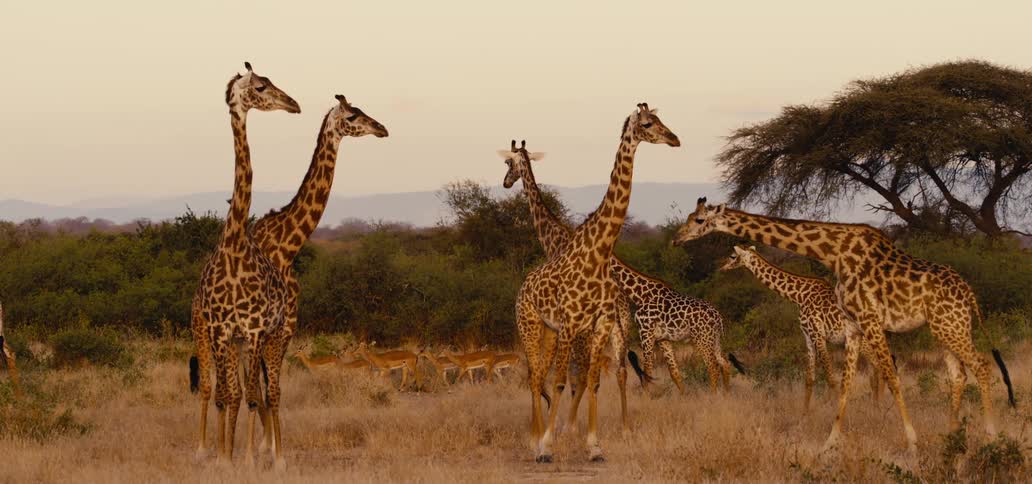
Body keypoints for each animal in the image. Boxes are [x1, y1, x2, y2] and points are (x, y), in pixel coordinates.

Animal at [189, 62, 298, 466]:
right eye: (262, 86)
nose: (293, 104)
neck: (235, 244)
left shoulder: (252, 330)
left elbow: (248, 396)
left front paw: (246, 457)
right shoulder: (221, 331)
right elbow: (227, 395)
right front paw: (223, 456)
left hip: (268, 336)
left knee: (263, 391)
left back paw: (271, 455)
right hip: (231, 340)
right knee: (228, 391)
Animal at [246, 94, 388, 461]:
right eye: (352, 116)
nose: (382, 128)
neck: (288, 247)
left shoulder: (285, 327)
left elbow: (271, 388)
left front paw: (271, 448)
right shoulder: (271, 328)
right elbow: (266, 388)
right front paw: (269, 451)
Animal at [514, 103, 680, 463]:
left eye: (662, 121)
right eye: (648, 124)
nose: (675, 139)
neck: (599, 253)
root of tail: (523, 286)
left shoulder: (600, 322)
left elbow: (591, 378)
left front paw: (593, 446)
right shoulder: (571, 324)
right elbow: (561, 381)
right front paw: (549, 445)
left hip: (551, 330)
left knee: (548, 374)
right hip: (530, 325)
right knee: (535, 376)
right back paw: (533, 441)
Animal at [719, 245, 887, 411]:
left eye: (733, 256)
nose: (721, 267)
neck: (799, 297)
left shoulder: (818, 334)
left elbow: (830, 377)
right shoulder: (808, 336)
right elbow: (809, 379)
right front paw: (805, 413)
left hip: (863, 340)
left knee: (879, 365)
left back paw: (879, 406)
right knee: (876, 368)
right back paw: (876, 405)